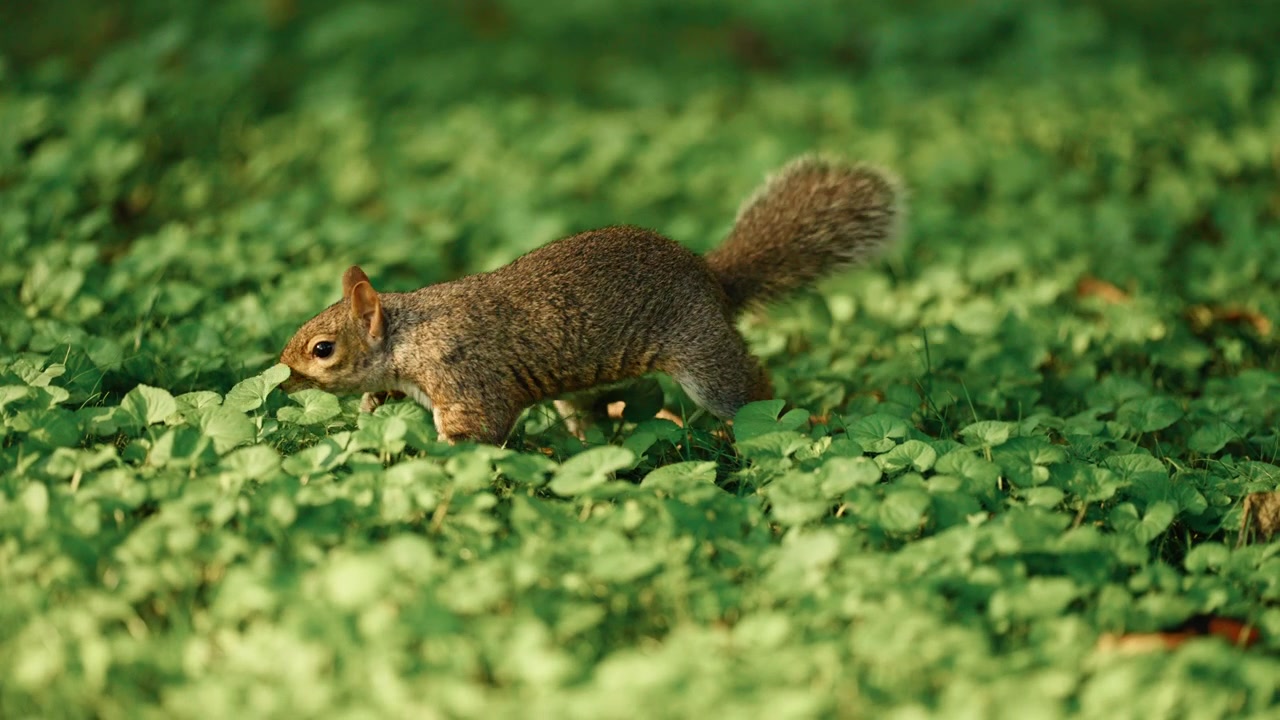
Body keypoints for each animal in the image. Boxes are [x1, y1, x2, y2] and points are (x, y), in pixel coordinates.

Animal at [278, 155, 904, 445]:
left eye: (323, 348)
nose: (281, 381)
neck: (409, 336)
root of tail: (712, 279)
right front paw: (366, 421)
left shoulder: (464, 376)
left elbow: (476, 429)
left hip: (705, 356)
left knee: (750, 391)